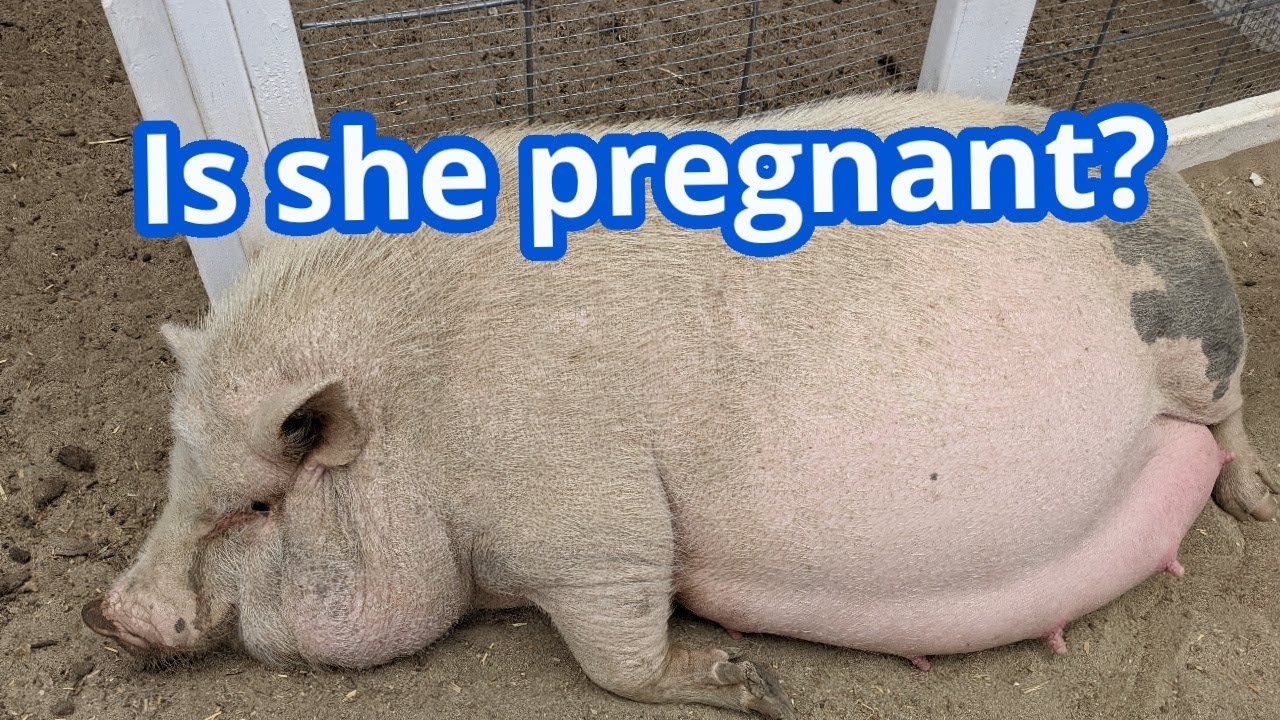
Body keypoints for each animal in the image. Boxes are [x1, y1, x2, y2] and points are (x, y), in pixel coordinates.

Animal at [83, 91, 1276, 719]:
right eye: (178, 477)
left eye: (258, 505)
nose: (112, 613)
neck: (424, 424)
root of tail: (1175, 185)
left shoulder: (591, 524)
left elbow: (617, 653)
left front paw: (749, 681)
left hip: (1199, 342)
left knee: (1225, 418)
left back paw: (1258, 506)